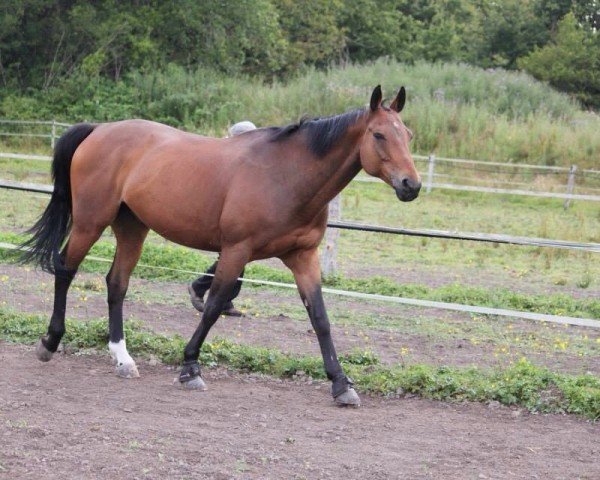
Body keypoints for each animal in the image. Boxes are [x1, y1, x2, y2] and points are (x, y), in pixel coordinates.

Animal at [21, 85, 420, 404]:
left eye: (408, 135)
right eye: (379, 135)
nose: (411, 185)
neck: (287, 176)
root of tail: (99, 130)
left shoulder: (303, 257)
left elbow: (320, 318)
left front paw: (341, 384)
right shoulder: (236, 250)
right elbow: (213, 306)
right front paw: (190, 367)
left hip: (132, 228)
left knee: (116, 284)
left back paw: (123, 358)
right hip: (90, 222)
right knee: (65, 270)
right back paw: (50, 342)